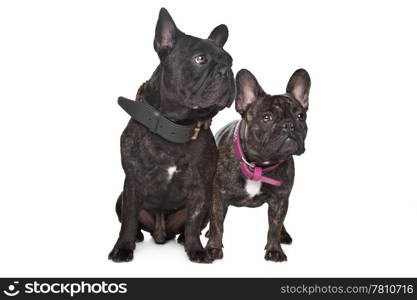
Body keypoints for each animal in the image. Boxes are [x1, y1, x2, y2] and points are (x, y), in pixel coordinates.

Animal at [108, 7, 234, 262]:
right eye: (200, 59)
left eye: (231, 62)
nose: (227, 72)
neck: (176, 125)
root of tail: (160, 233)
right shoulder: (133, 184)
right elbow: (128, 221)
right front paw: (123, 248)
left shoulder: (200, 190)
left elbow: (193, 223)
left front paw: (196, 249)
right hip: (120, 198)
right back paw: (137, 238)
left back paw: (184, 239)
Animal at [206, 69, 310, 262]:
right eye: (267, 117)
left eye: (301, 116)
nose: (289, 125)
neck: (258, 165)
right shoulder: (218, 196)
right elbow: (217, 223)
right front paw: (213, 248)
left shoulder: (280, 199)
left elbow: (274, 227)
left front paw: (275, 250)